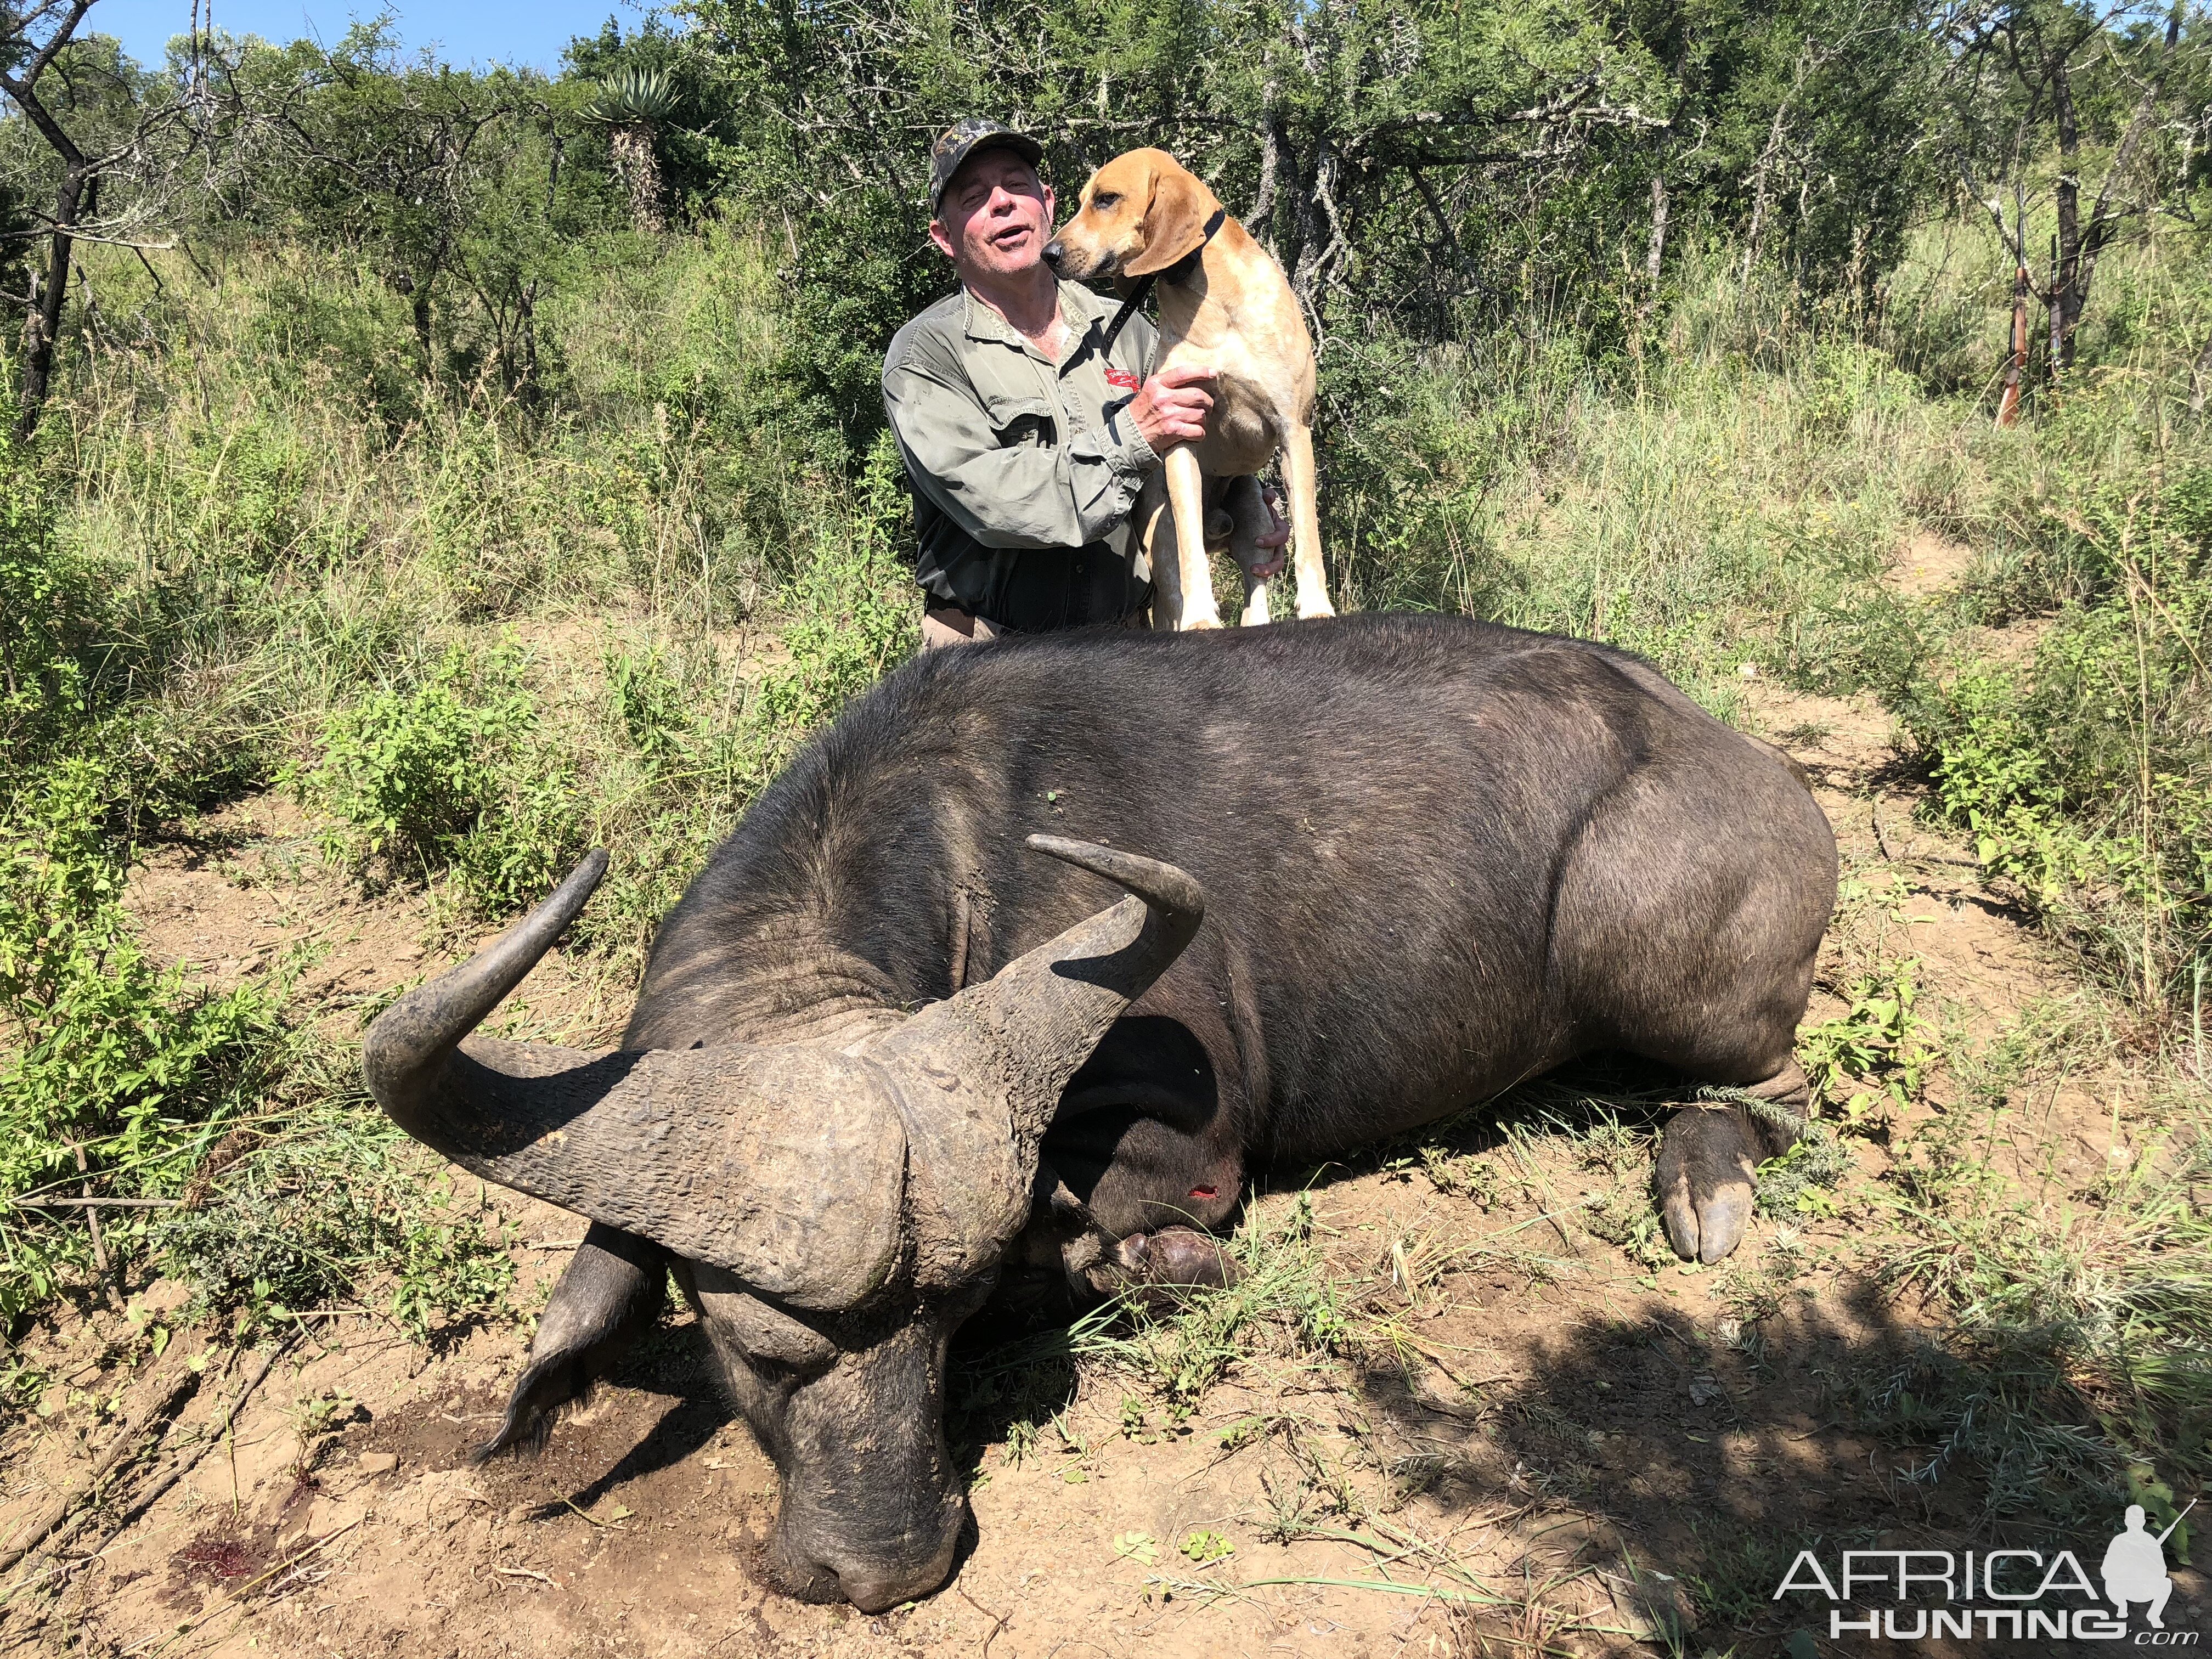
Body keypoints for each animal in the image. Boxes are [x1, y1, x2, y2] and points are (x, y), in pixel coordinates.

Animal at [363, 610, 1840, 1610]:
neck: (961, 846)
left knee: (1777, 1086)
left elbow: (1131, 1236)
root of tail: (1757, 767)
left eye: (949, 1327)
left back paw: (1703, 1183)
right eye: (751, 1350)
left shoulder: (1180, 1146)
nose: (888, 1570)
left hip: (1645, 962)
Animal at [1048, 149, 1336, 633]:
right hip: (1159, 521)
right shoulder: (1181, 433)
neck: (1213, 303)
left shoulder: (1294, 429)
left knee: (1255, 587)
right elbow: (1188, 556)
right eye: (1084, 200)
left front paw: (1317, 609)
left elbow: (1309, 537)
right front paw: (1201, 619)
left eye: (1107, 199)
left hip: (1256, 516)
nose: (1048, 253)